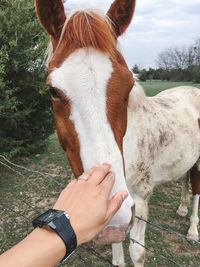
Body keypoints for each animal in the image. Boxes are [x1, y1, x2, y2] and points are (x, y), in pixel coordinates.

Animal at [35, 1, 199, 266]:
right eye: (53, 91)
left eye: (129, 84)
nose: (112, 217)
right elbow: (117, 254)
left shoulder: (139, 202)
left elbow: (137, 252)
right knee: (186, 180)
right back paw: (182, 208)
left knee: (197, 190)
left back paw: (193, 229)